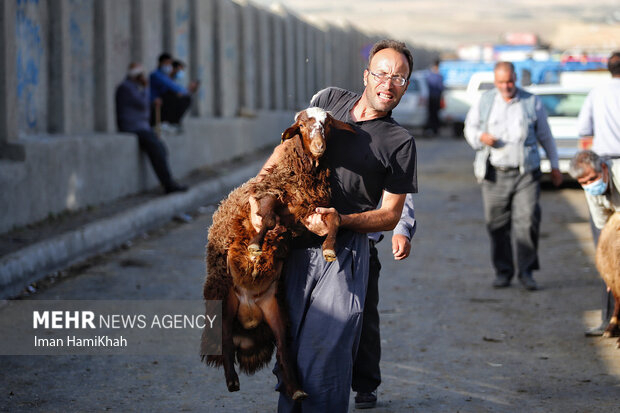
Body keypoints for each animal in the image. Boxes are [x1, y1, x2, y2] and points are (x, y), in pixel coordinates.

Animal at [201, 107, 356, 400]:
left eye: (328, 124)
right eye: (302, 126)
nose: (319, 147)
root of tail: (249, 317)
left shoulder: (309, 214)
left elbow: (335, 220)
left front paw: (329, 249)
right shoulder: (270, 193)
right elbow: (269, 216)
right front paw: (255, 244)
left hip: (276, 313)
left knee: (284, 350)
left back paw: (296, 390)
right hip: (224, 298)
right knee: (225, 339)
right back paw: (232, 381)